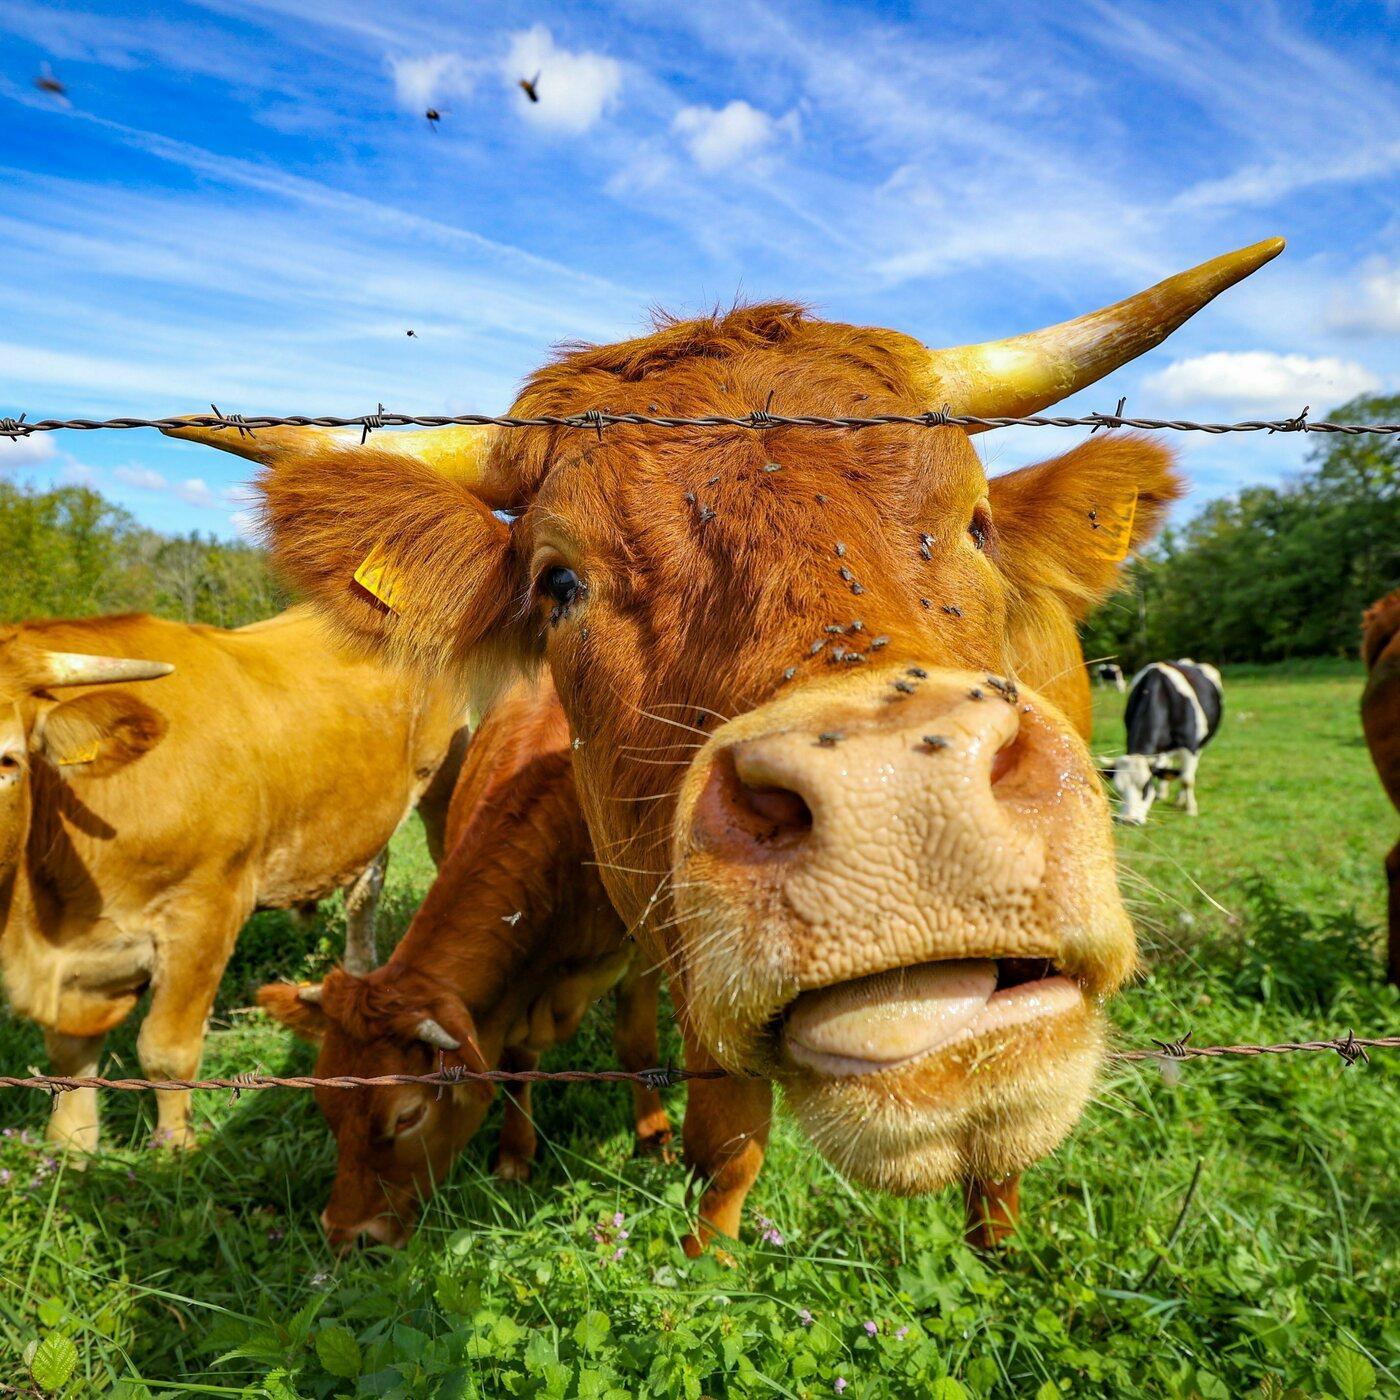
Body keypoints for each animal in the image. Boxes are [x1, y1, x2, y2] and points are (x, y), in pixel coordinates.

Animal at [0, 607, 467, 1154]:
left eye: (8, 759)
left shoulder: (205, 911)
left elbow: (165, 1050)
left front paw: (174, 1149)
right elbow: (69, 1055)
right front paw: (70, 1148)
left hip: (444, 780)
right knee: (366, 886)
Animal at [257, 676, 669, 1250]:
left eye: (407, 1116)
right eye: (326, 1105)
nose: (346, 1234)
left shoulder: (639, 954)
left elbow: (638, 1049)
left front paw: (655, 1140)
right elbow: (516, 1065)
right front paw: (515, 1155)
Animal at [1108, 659, 1223, 825]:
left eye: (1145, 786)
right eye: (1118, 789)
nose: (1129, 820)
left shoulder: (1189, 747)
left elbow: (1186, 779)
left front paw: (1191, 810)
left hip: (1199, 744)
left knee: (1185, 772)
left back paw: (1180, 799)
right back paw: (1163, 794)